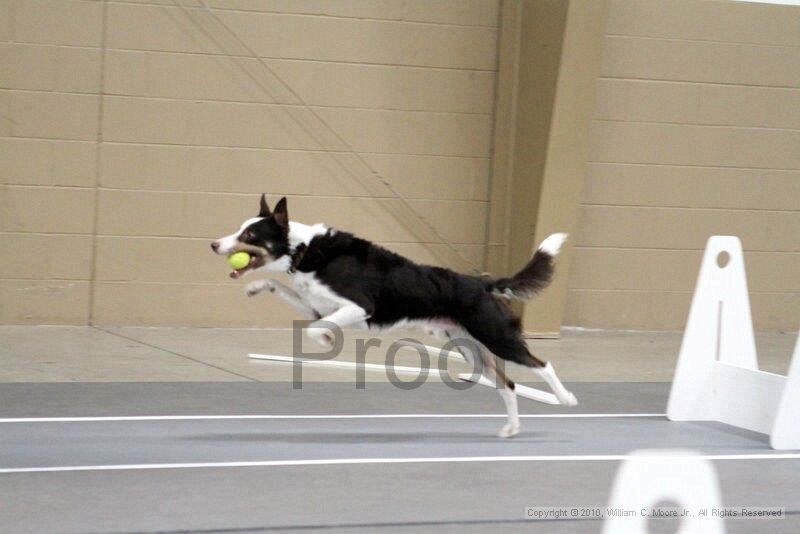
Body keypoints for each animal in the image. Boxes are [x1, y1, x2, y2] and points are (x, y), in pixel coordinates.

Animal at [212, 195, 576, 438]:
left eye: (250, 236)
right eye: (240, 230)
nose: (214, 244)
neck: (303, 250)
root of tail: (481, 282)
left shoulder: (358, 307)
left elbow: (315, 329)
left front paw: (327, 338)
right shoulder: (316, 305)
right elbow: (279, 286)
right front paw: (256, 287)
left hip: (495, 335)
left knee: (542, 365)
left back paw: (565, 398)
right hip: (470, 349)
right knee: (508, 384)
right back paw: (512, 428)